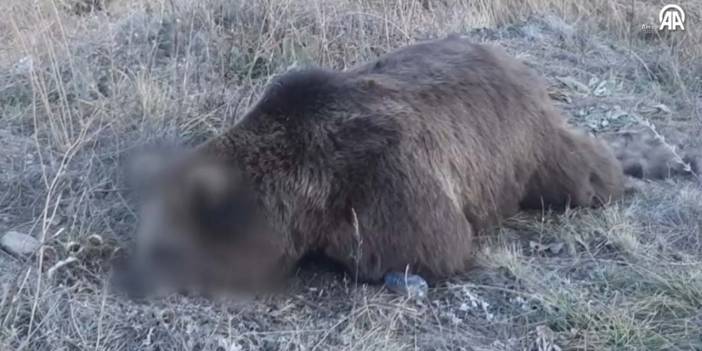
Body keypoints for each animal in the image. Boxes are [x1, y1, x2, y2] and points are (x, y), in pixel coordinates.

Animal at [119, 35, 628, 296]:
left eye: (163, 246)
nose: (130, 280)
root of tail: (518, 63)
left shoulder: (391, 183)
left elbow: (429, 246)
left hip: (528, 144)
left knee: (576, 173)